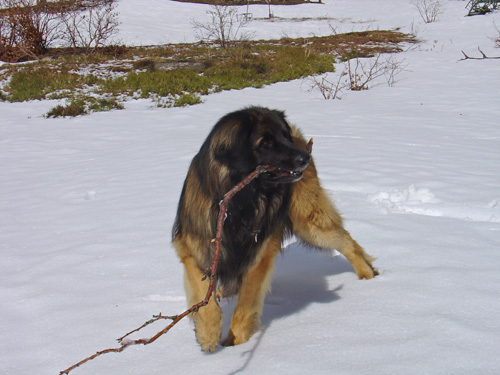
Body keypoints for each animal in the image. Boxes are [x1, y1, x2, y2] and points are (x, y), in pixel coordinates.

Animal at [172, 106, 376, 352]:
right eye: (266, 142)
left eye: (284, 136)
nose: (304, 157)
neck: (241, 203)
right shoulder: (194, 248)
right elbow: (205, 299)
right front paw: (208, 335)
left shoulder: (259, 254)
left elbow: (245, 305)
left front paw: (235, 343)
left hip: (309, 223)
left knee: (347, 242)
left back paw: (368, 275)